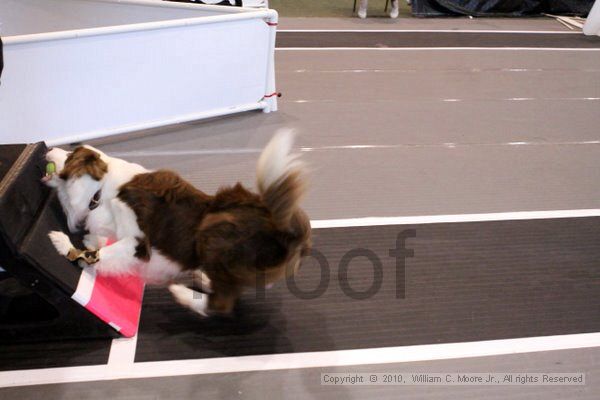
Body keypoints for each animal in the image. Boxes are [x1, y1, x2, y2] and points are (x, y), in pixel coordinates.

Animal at [44, 131, 312, 316]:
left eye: (70, 156)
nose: (47, 147)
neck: (100, 192)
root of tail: (284, 227)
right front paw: (90, 239)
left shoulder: (138, 244)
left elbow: (99, 254)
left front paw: (64, 244)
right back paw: (203, 279)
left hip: (213, 229)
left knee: (221, 303)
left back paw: (184, 294)